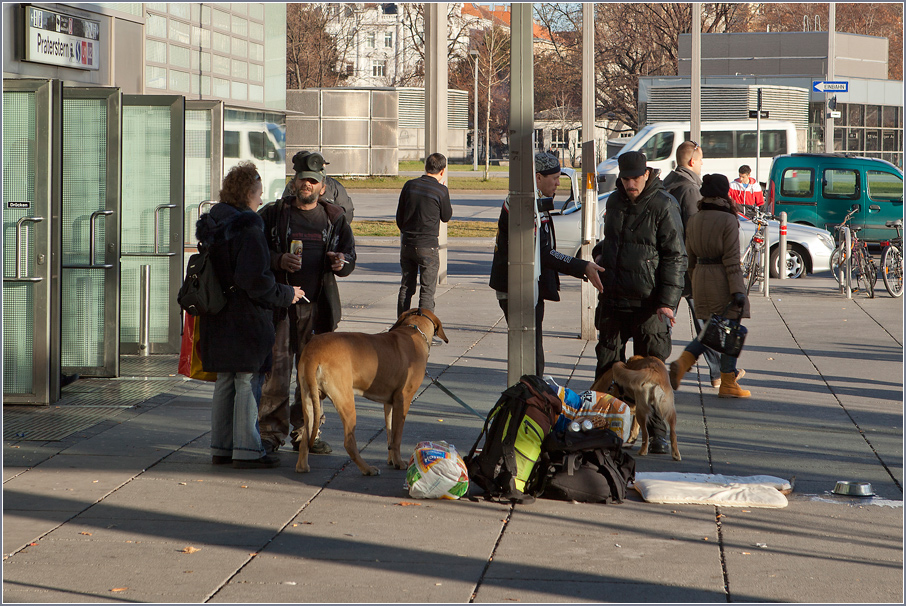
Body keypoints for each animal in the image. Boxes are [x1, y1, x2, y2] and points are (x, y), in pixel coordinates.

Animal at [294, 312, 446, 478]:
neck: (414, 330)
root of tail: (313, 352)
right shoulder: (403, 400)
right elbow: (397, 437)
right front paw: (399, 463)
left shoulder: (390, 403)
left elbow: (390, 433)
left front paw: (392, 459)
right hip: (346, 401)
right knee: (349, 443)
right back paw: (367, 469)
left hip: (308, 399)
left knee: (305, 437)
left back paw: (302, 466)